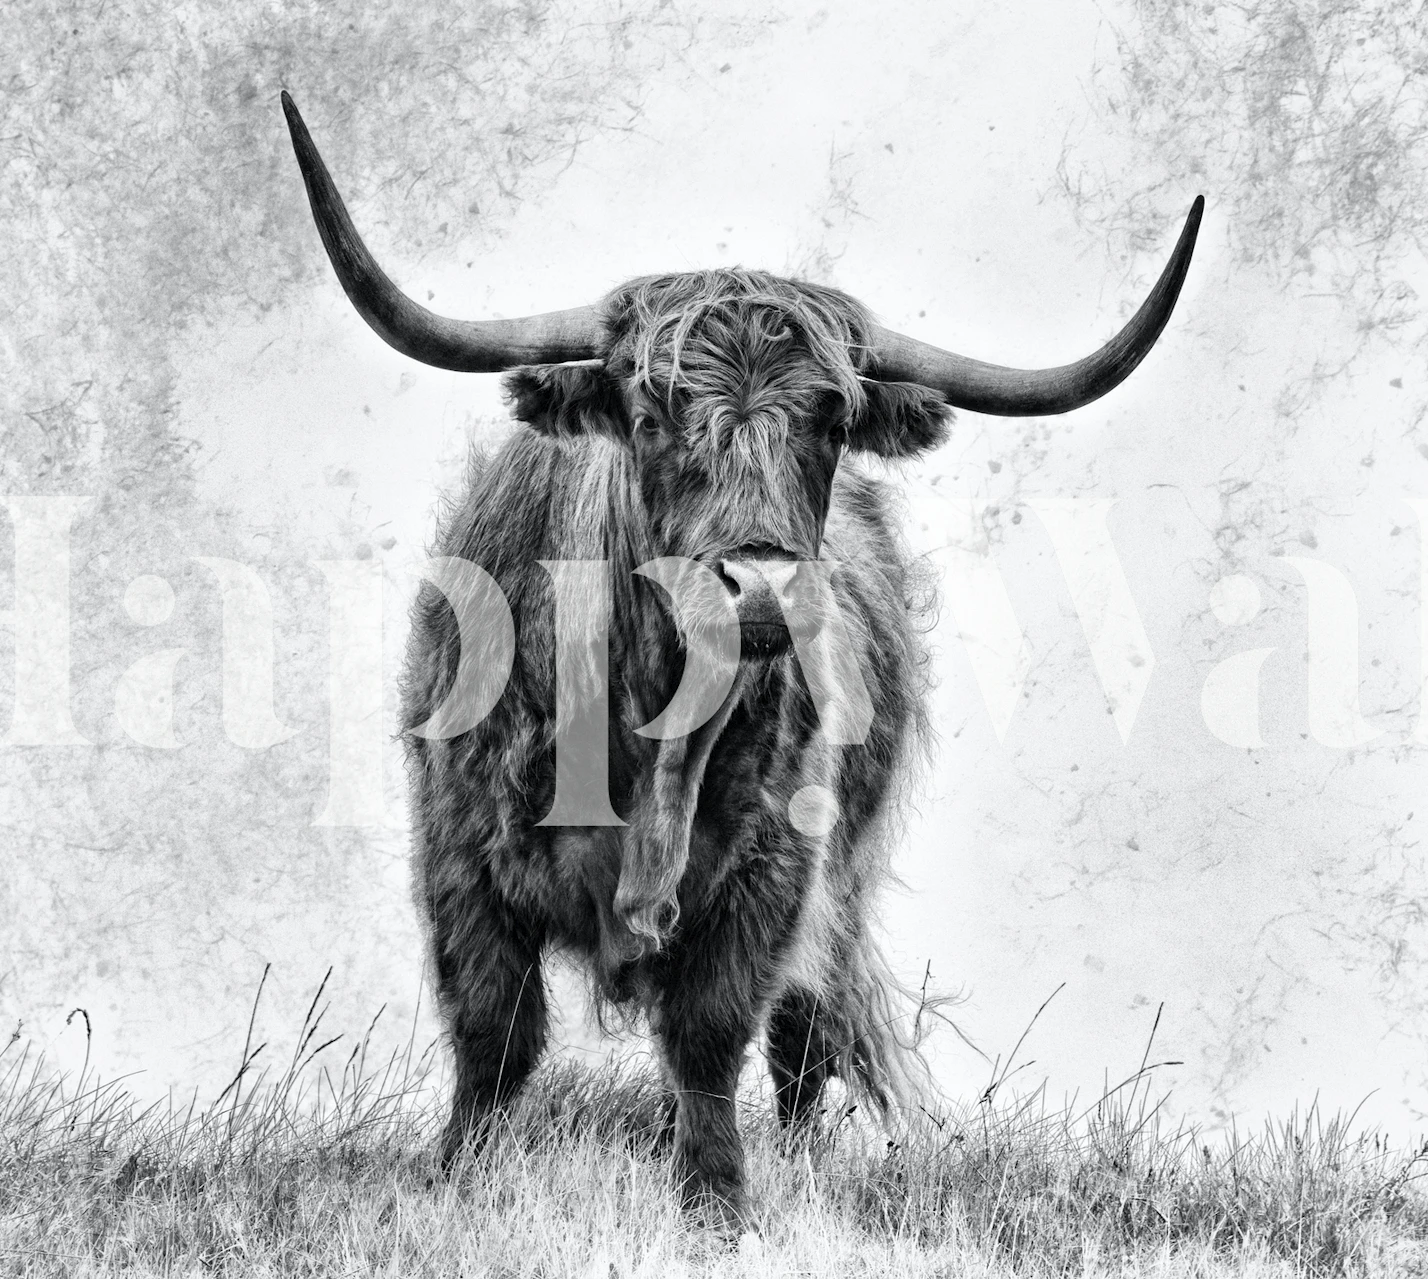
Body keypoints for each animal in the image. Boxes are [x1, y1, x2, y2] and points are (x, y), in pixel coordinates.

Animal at [281, 92, 1201, 1232]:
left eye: (833, 418)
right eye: (648, 411)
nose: (759, 587)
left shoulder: (777, 869)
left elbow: (713, 1035)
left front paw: (717, 1201)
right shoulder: (459, 848)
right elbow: (494, 1030)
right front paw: (457, 1179)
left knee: (805, 1041)